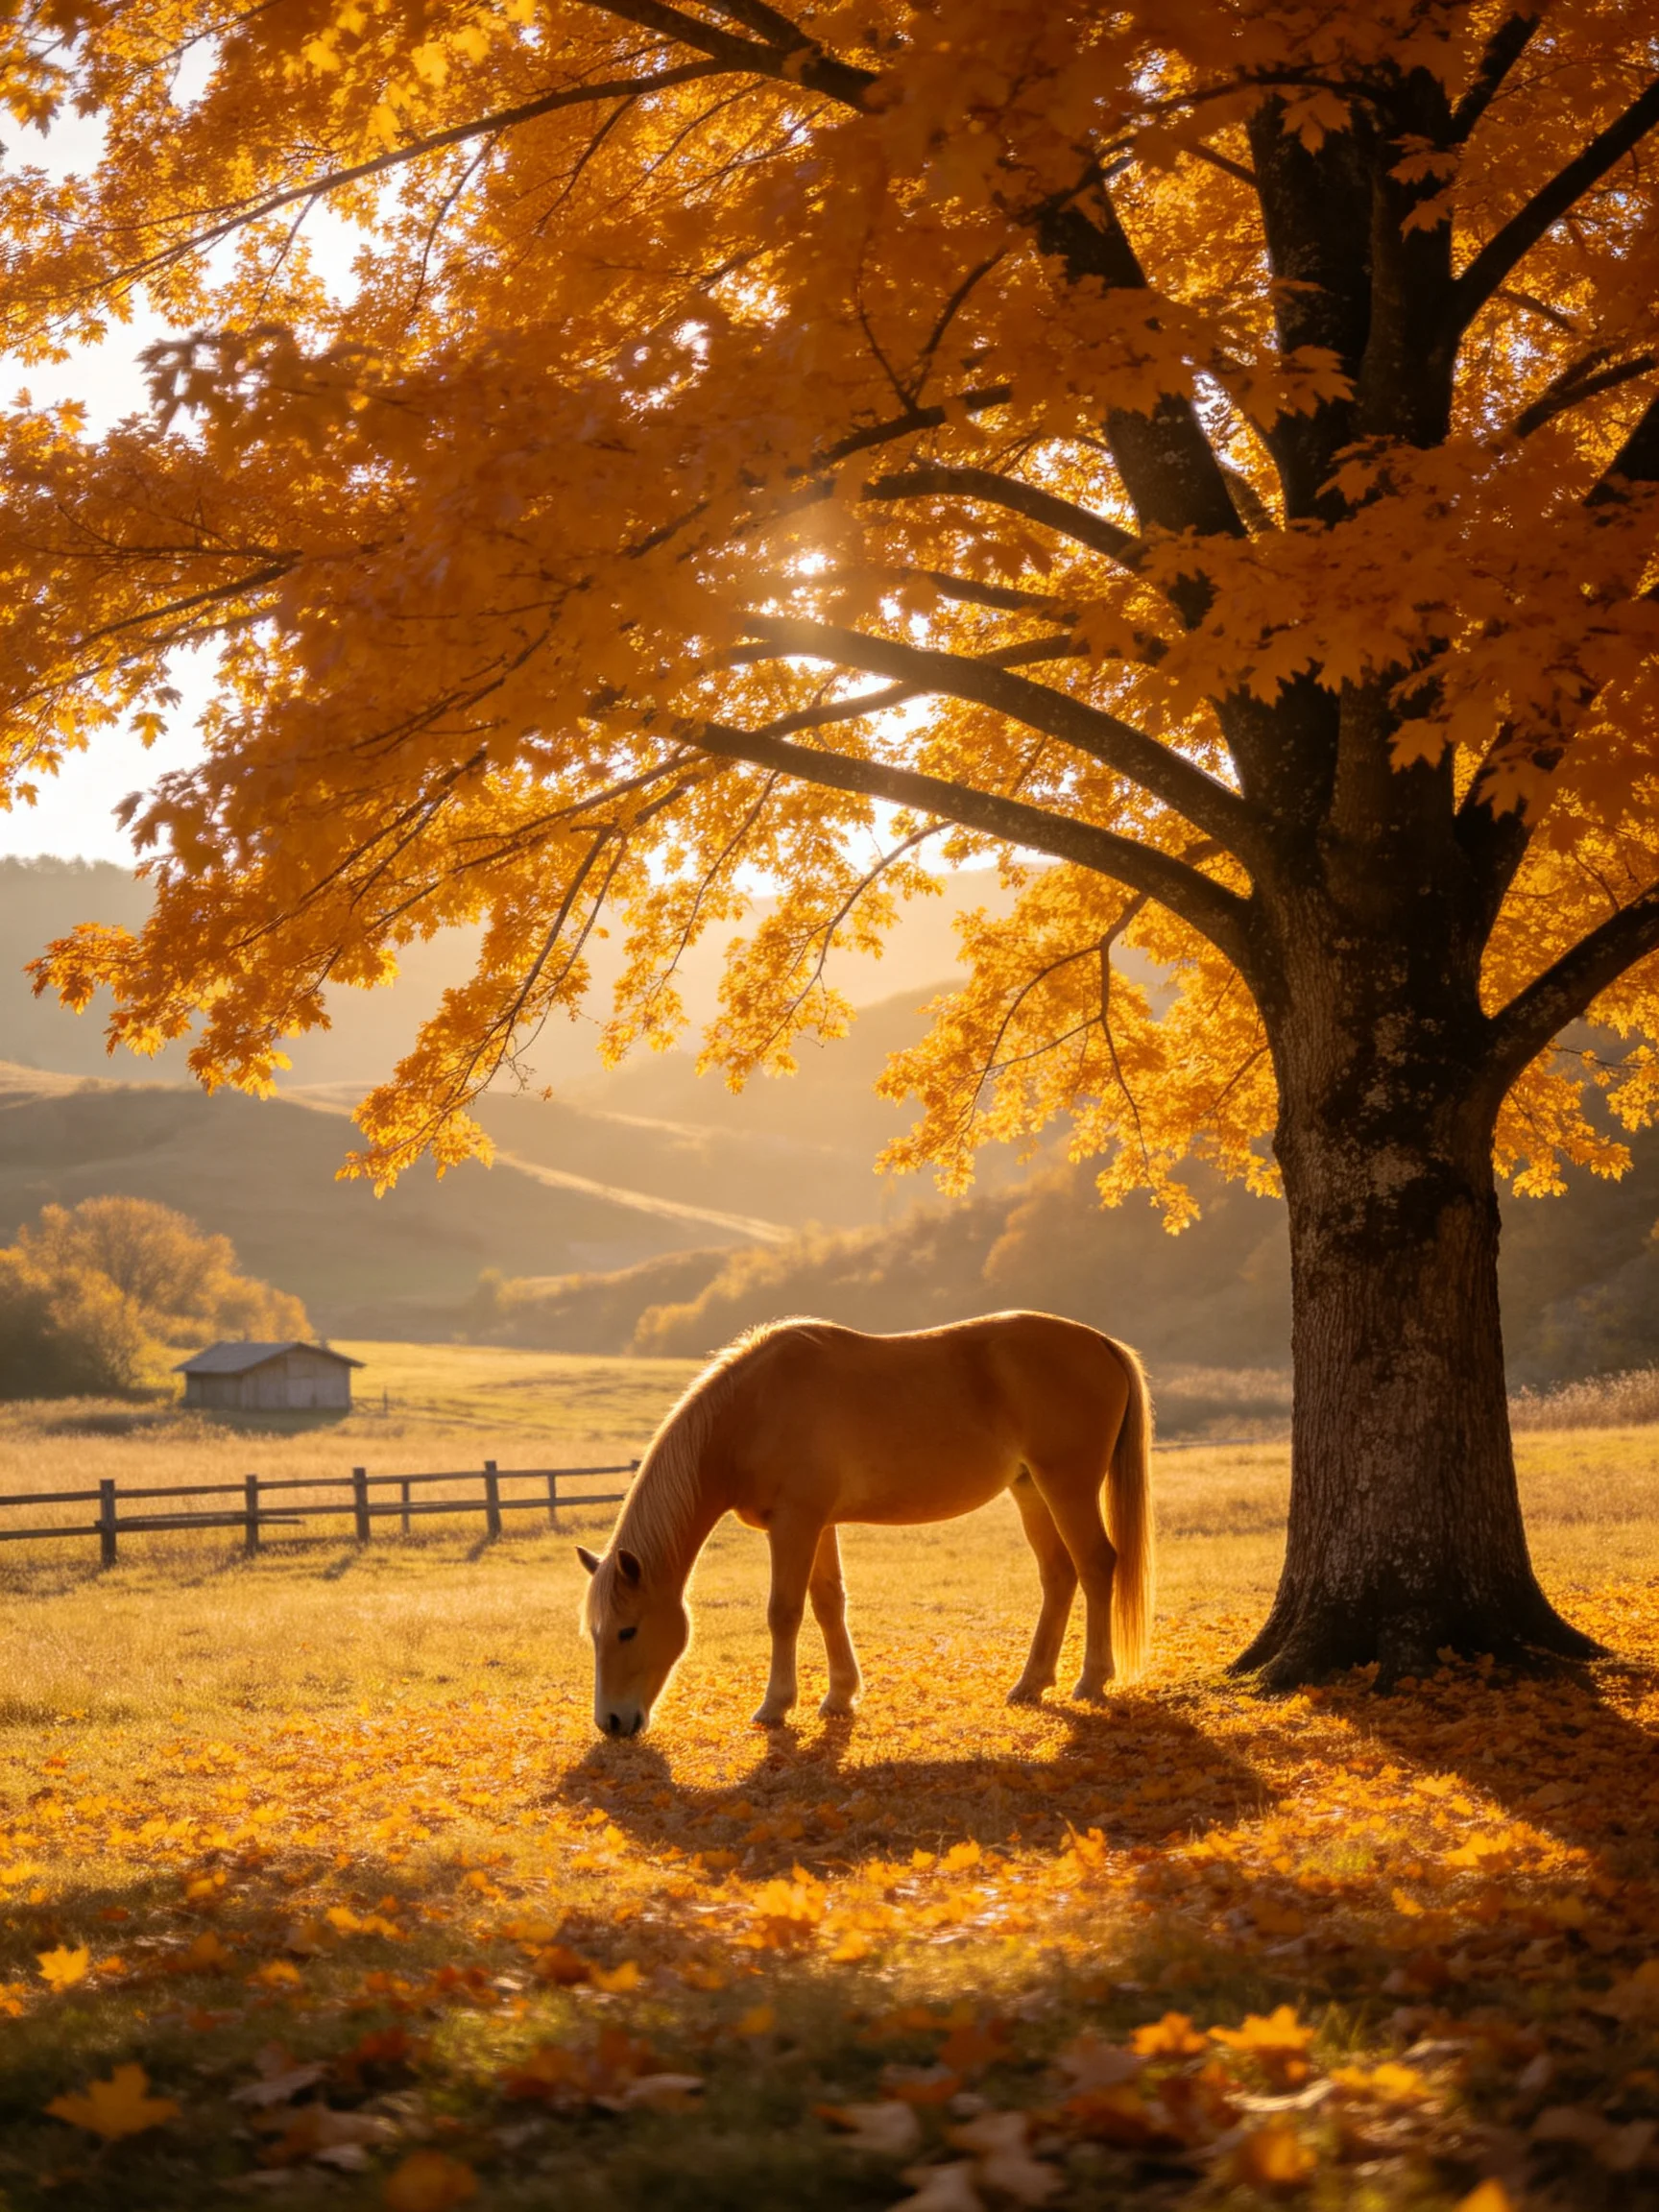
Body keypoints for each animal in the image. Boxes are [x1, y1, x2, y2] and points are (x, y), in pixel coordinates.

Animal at [576, 1310, 1154, 1737]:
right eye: (594, 1633)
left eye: (628, 1630)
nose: (612, 1723)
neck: (751, 1412)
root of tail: (1100, 1342)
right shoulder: (817, 1525)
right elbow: (829, 1603)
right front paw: (839, 1696)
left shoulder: (795, 1524)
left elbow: (784, 1612)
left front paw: (775, 1705)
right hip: (1032, 1490)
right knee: (1059, 1574)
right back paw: (1030, 1683)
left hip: (1068, 1487)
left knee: (1096, 1564)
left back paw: (1091, 1681)